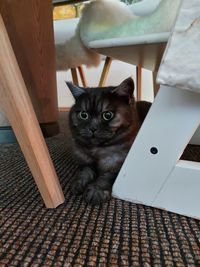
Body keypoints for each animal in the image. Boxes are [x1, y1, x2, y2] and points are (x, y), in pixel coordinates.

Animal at [67, 78, 152, 206]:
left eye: (107, 115)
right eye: (83, 115)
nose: (92, 128)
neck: (97, 150)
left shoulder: (117, 165)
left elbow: (106, 177)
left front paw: (95, 191)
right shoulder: (85, 162)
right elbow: (84, 172)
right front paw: (78, 183)